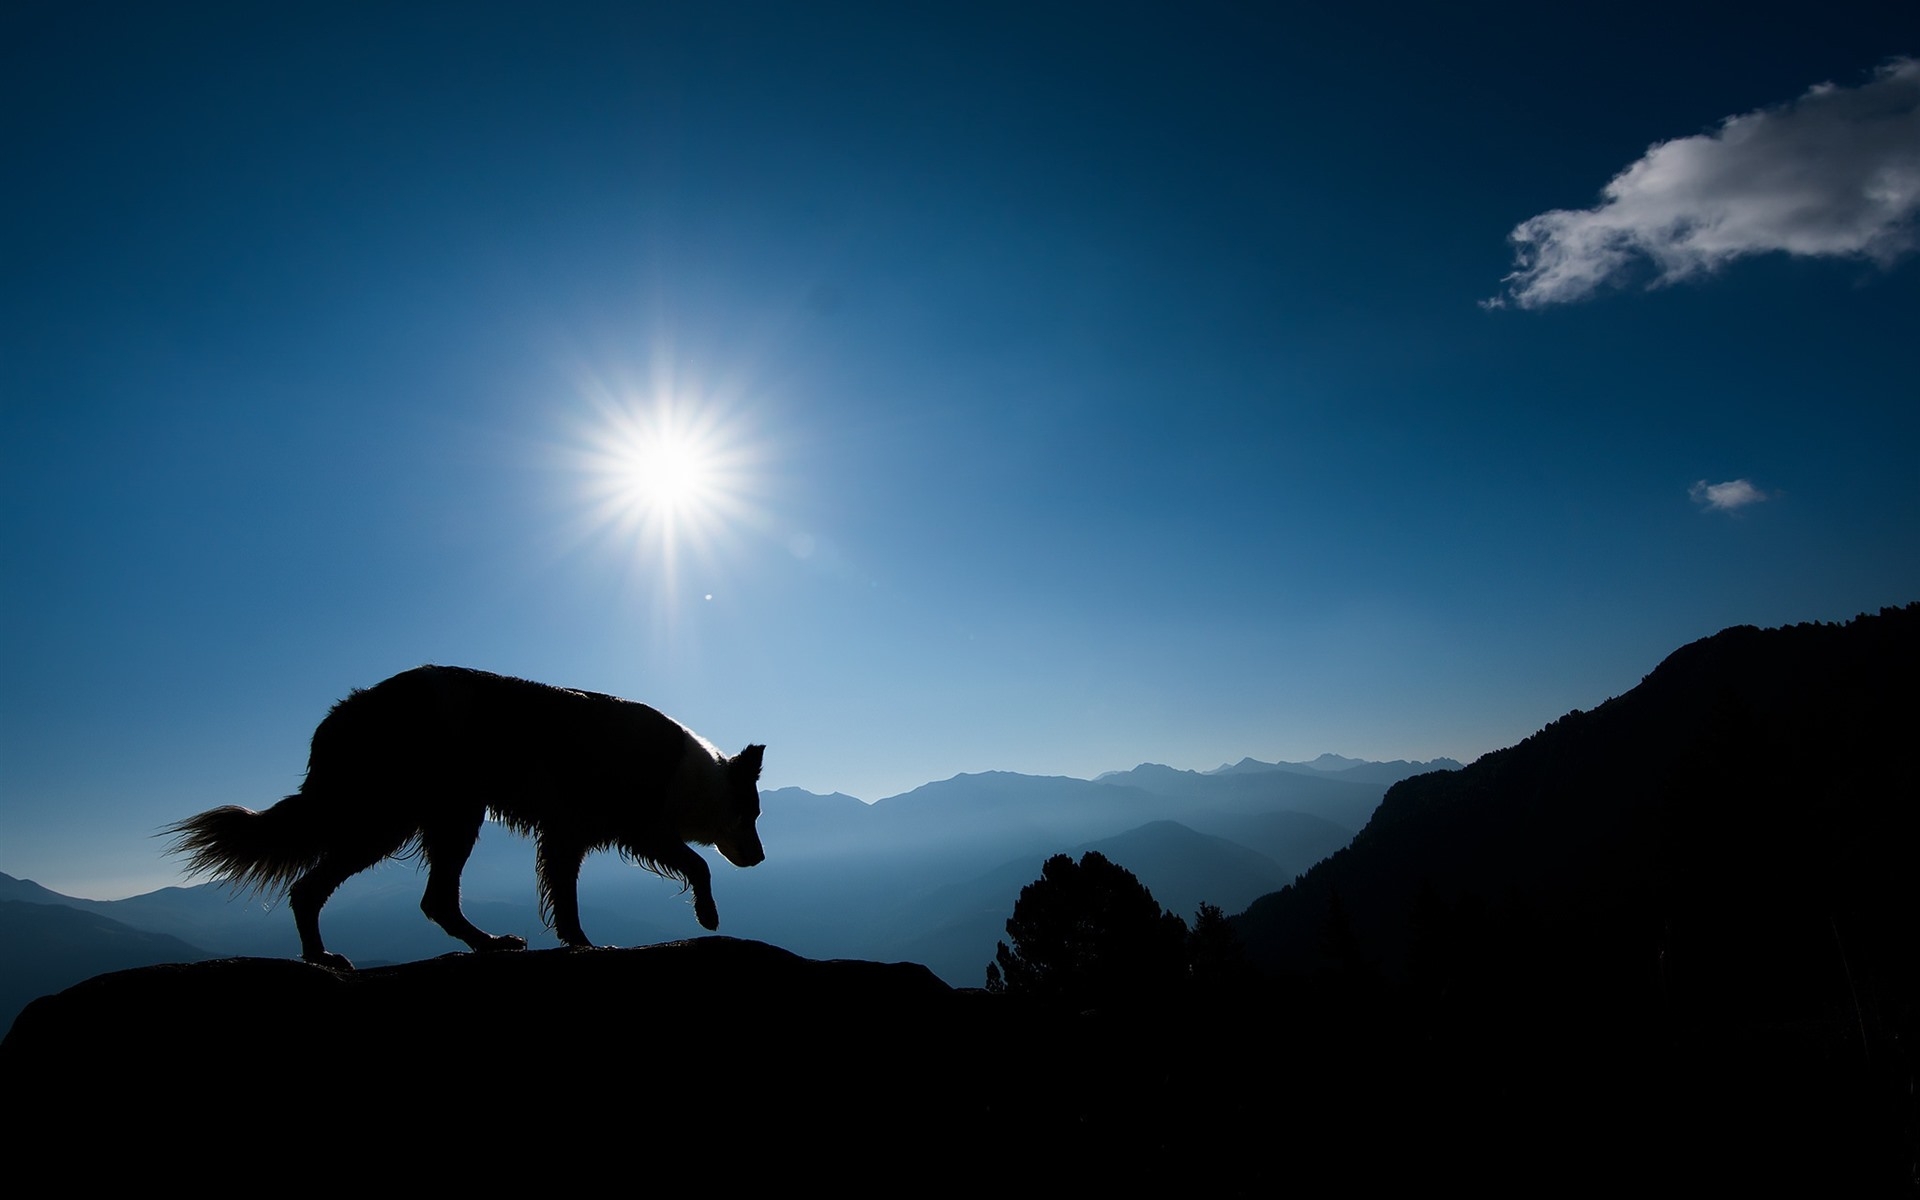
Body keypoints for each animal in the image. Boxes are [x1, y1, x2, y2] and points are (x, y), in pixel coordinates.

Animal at [165, 668, 764, 967]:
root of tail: (343, 712)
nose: (760, 859)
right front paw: (707, 916)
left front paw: (579, 942)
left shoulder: (567, 834)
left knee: (424, 899)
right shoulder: (631, 828)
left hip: (435, 817)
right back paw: (326, 956)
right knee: (323, 889)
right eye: (753, 813)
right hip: (399, 819)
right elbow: (698, 865)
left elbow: (566, 897)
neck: (693, 775)